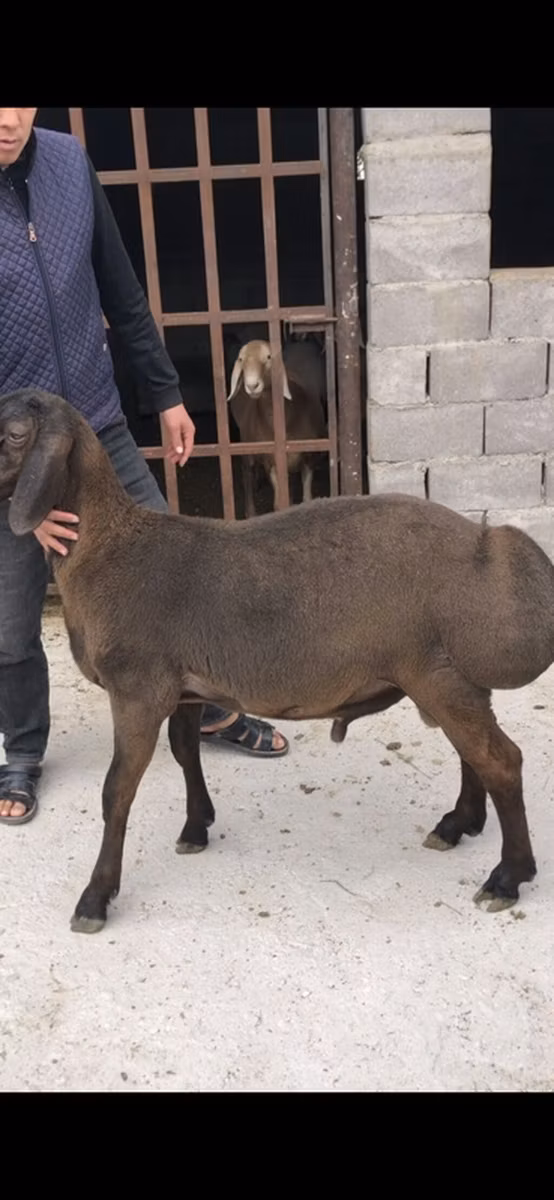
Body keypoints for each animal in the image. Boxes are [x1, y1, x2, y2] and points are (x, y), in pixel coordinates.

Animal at [1, 387, 552, 934]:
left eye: (13, 434)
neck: (107, 550)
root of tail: (486, 545)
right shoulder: (184, 688)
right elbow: (185, 751)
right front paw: (196, 827)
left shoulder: (138, 688)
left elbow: (116, 791)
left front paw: (94, 899)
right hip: (449, 670)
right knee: (472, 751)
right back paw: (459, 824)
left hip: (435, 673)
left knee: (501, 760)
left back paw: (508, 877)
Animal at [227, 338, 327, 516]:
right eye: (241, 359)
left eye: (268, 357)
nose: (252, 385)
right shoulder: (271, 460)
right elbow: (278, 503)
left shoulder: (308, 456)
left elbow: (307, 498)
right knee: (247, 472)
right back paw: (251, 510)